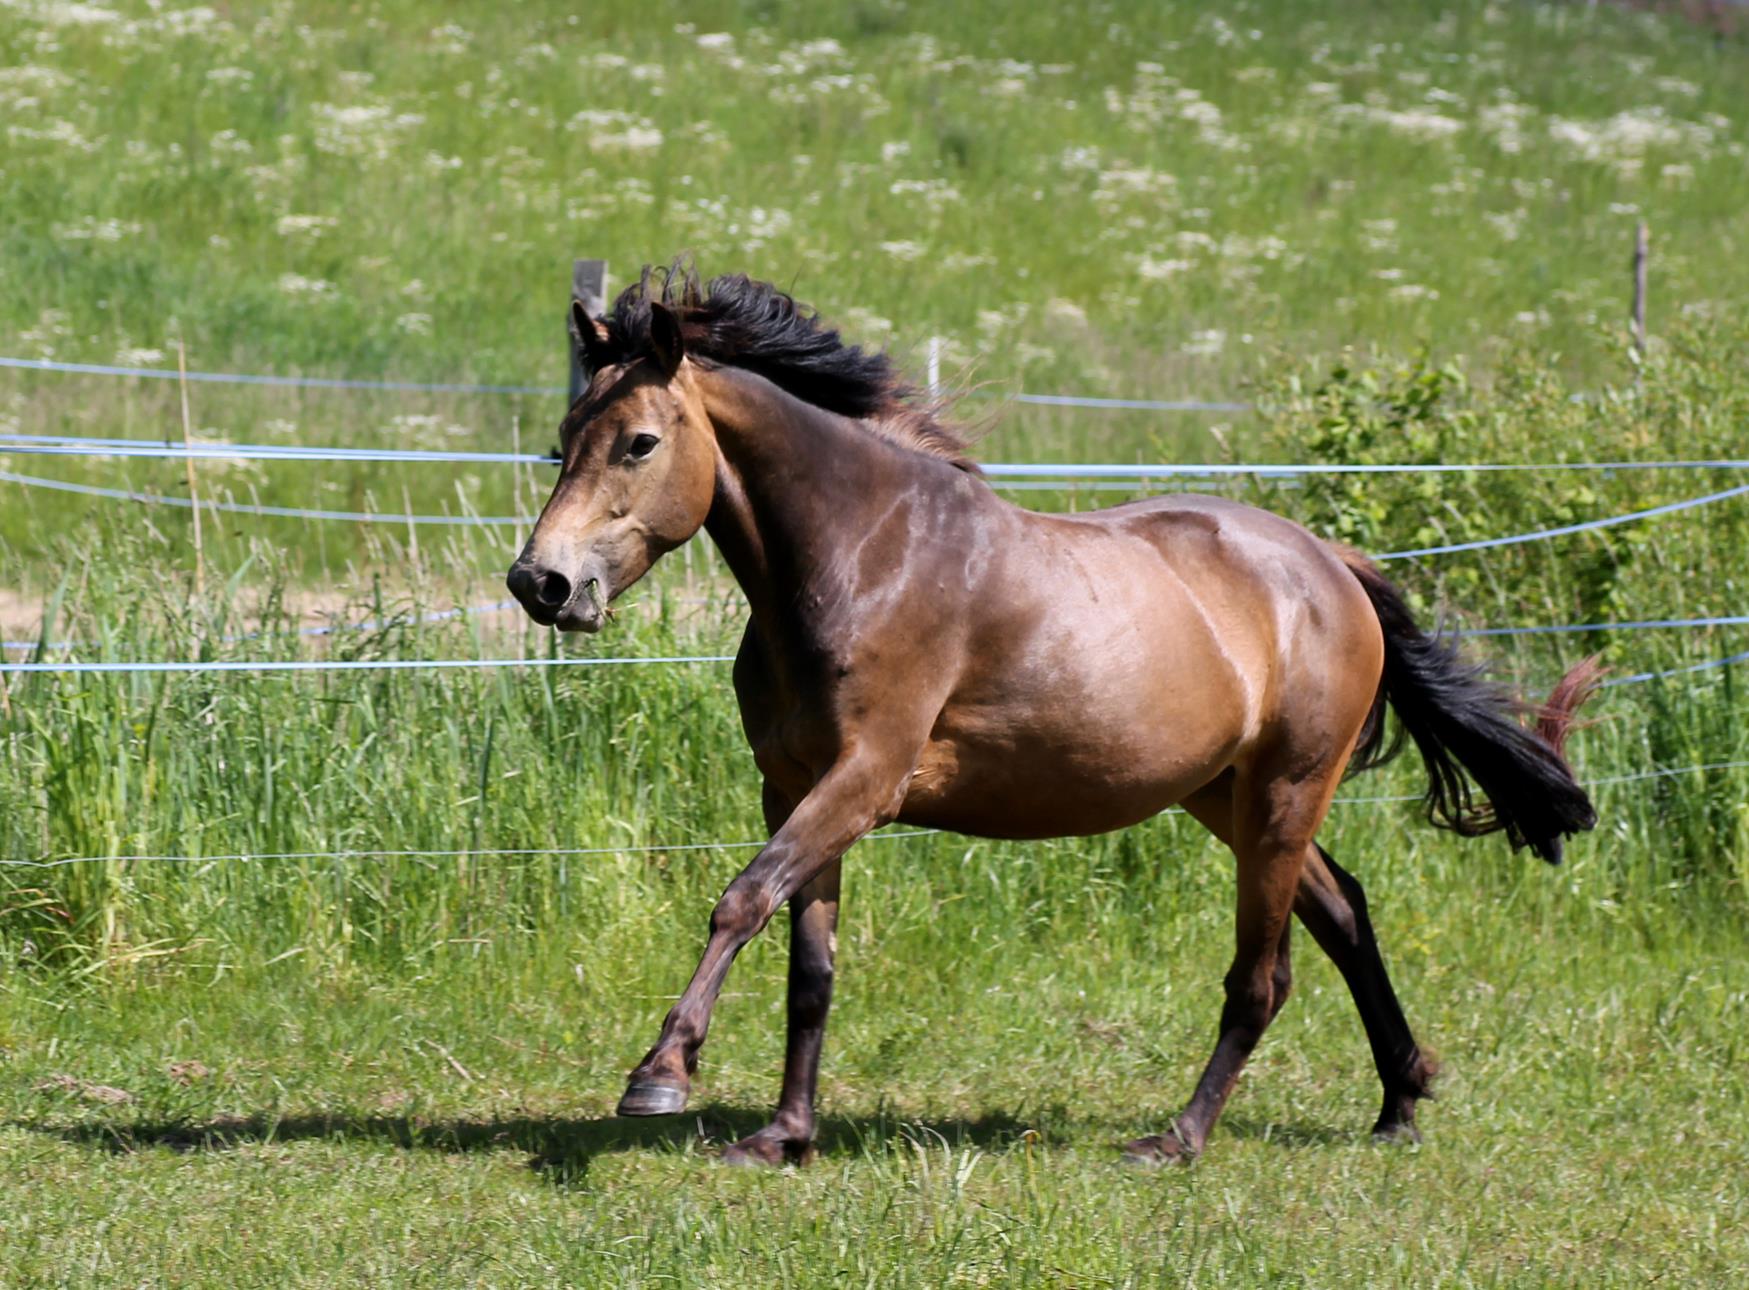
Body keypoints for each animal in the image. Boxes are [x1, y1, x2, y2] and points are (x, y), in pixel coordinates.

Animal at [503, 262, 1602, 1167]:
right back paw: (1398, 1105)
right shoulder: (797, 790)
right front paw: (782, 1136)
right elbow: (809, 964)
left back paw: (1177, 1140)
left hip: (1286, 792)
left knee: (1264, 972)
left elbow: (740, 900)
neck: (863, 556)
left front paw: (659, 1077)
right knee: (1344, 913)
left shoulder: (864, 780)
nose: (541, 584)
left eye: (640, 443)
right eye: (563, 444)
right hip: (1224, 796)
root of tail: (1330, 565)